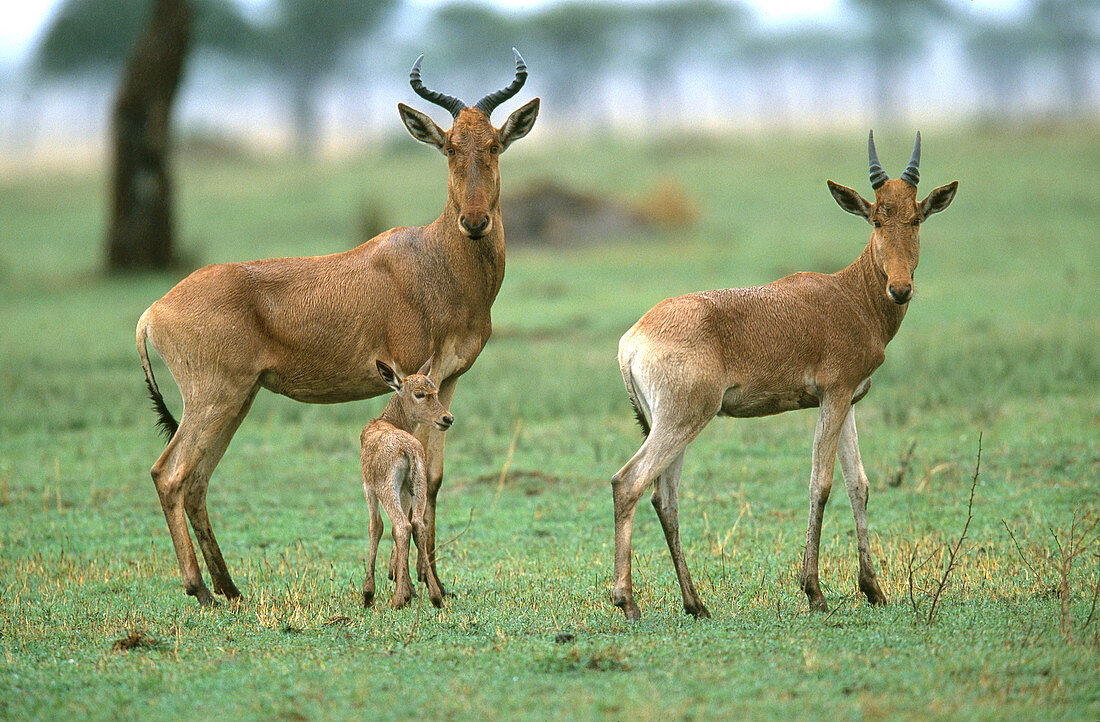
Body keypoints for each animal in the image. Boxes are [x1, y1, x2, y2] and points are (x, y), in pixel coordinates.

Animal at [358, 358, 448, 607]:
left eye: (435, 392)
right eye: (420, 393)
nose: (447, 418)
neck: (385, 421)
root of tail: (408, 449)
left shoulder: (369, 487)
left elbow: (376, 527)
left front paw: (368, 593)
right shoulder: (405, 492)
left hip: (387, 491)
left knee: (402, 525)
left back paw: (397, 599)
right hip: (417, 487)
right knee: (417, 525)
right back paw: (435, 596)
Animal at [611, 132, 954, 616]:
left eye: (916, 217)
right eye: (875, 220)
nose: (900, 288)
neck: (847, 294)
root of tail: (633, 339)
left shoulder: (846, 401)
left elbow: (859, 485)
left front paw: (874, 589)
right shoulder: (833, 395)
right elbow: (820, 484)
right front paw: (815, 592)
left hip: (668, 422)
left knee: (665, 497)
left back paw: (696, 604)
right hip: (683, 419)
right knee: (629, 482)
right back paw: (628, 602)